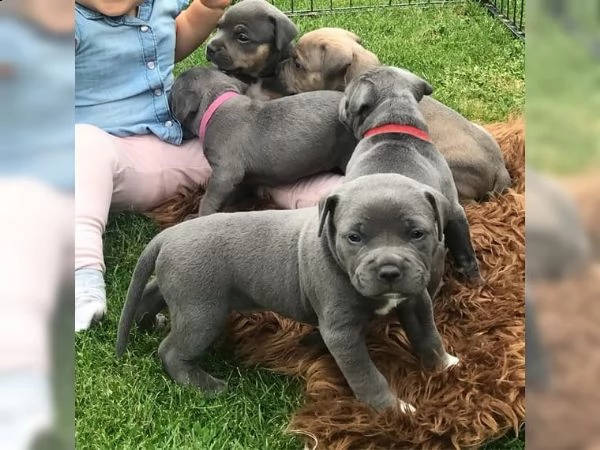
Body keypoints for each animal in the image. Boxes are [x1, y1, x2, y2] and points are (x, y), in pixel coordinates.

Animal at [118, 174, 464, 414]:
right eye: (354, 237)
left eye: (417, 233)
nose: (389, 270)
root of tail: (167, 235)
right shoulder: (341, 333)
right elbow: (366, 374)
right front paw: (391, 410)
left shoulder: (416, 300)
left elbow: (428, 336)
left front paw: (446, 366)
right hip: (201, 313)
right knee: (171, 351)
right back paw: (205, 386)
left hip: (182, 293)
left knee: (151, 294)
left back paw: (149, 323)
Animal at [169, 67, 356, 216]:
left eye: (171, 93)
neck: (216, 105)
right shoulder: (242, 180)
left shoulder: (225, 174)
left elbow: (208, 199)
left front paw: (198, 217)